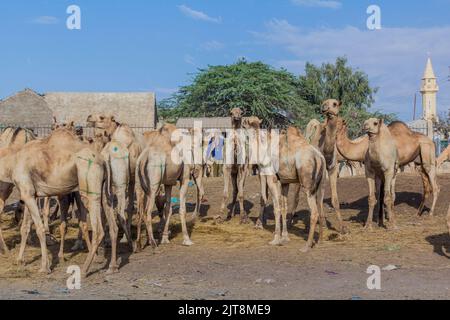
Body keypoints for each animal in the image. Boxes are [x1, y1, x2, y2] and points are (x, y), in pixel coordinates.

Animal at [0, 127, 107, 276]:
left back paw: (85, 269)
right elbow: (25, 227)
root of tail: (102, 161)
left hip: (90, 188)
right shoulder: (29, 194)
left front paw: (45, 267)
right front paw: (20, 260)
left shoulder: (27, 193)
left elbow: (39, 229)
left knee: (98, 229)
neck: (12, 161)